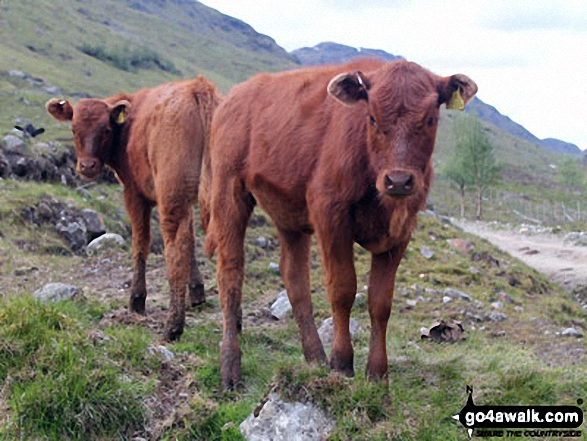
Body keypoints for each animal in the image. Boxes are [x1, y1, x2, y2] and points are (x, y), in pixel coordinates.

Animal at [46, 76, 220, 340]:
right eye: (74, 129)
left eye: (106, 130)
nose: (87, 166)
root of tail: (197, 87)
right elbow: (190, 237)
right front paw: (197, 292)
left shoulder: (134, 193)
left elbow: (140, 241)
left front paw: (136, 300)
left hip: (171, 194)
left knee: (175, 248)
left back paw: (173, 326)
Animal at [206, 58, 478, 384]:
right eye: (371, 118)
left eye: (429, 120)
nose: (399, 180)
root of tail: (236, 95)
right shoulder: (330, 215)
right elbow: (343, 289)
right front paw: (342, 361)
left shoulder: (402, 231)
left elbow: (380, 302)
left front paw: (377, 372)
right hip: (228, 190)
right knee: (231, 271)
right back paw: (230, 366)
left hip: (288, 211)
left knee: (294, 277)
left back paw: (315, 356)